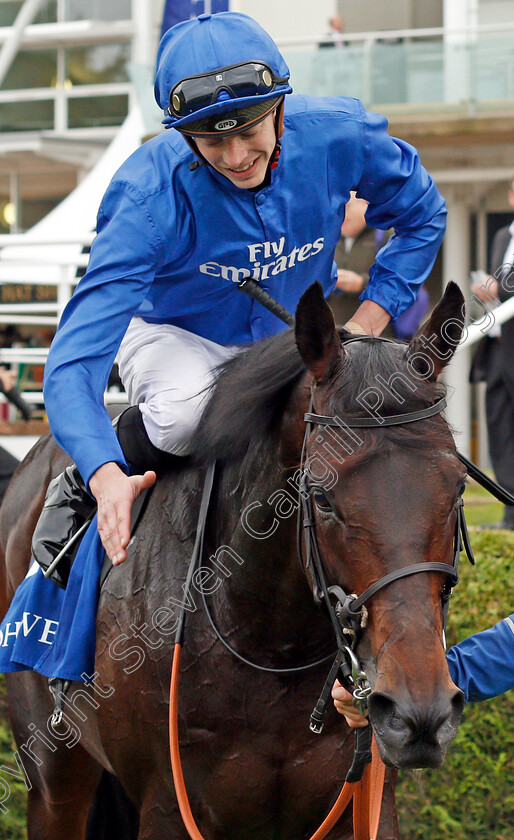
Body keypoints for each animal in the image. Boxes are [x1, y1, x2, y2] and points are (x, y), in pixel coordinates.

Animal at [0, 282, 464, 840]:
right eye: (322, 496)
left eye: (457, 488)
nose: (418, 713)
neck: (268, 645)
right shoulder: (168, 806)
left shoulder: (365, 800)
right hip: (54, 772)